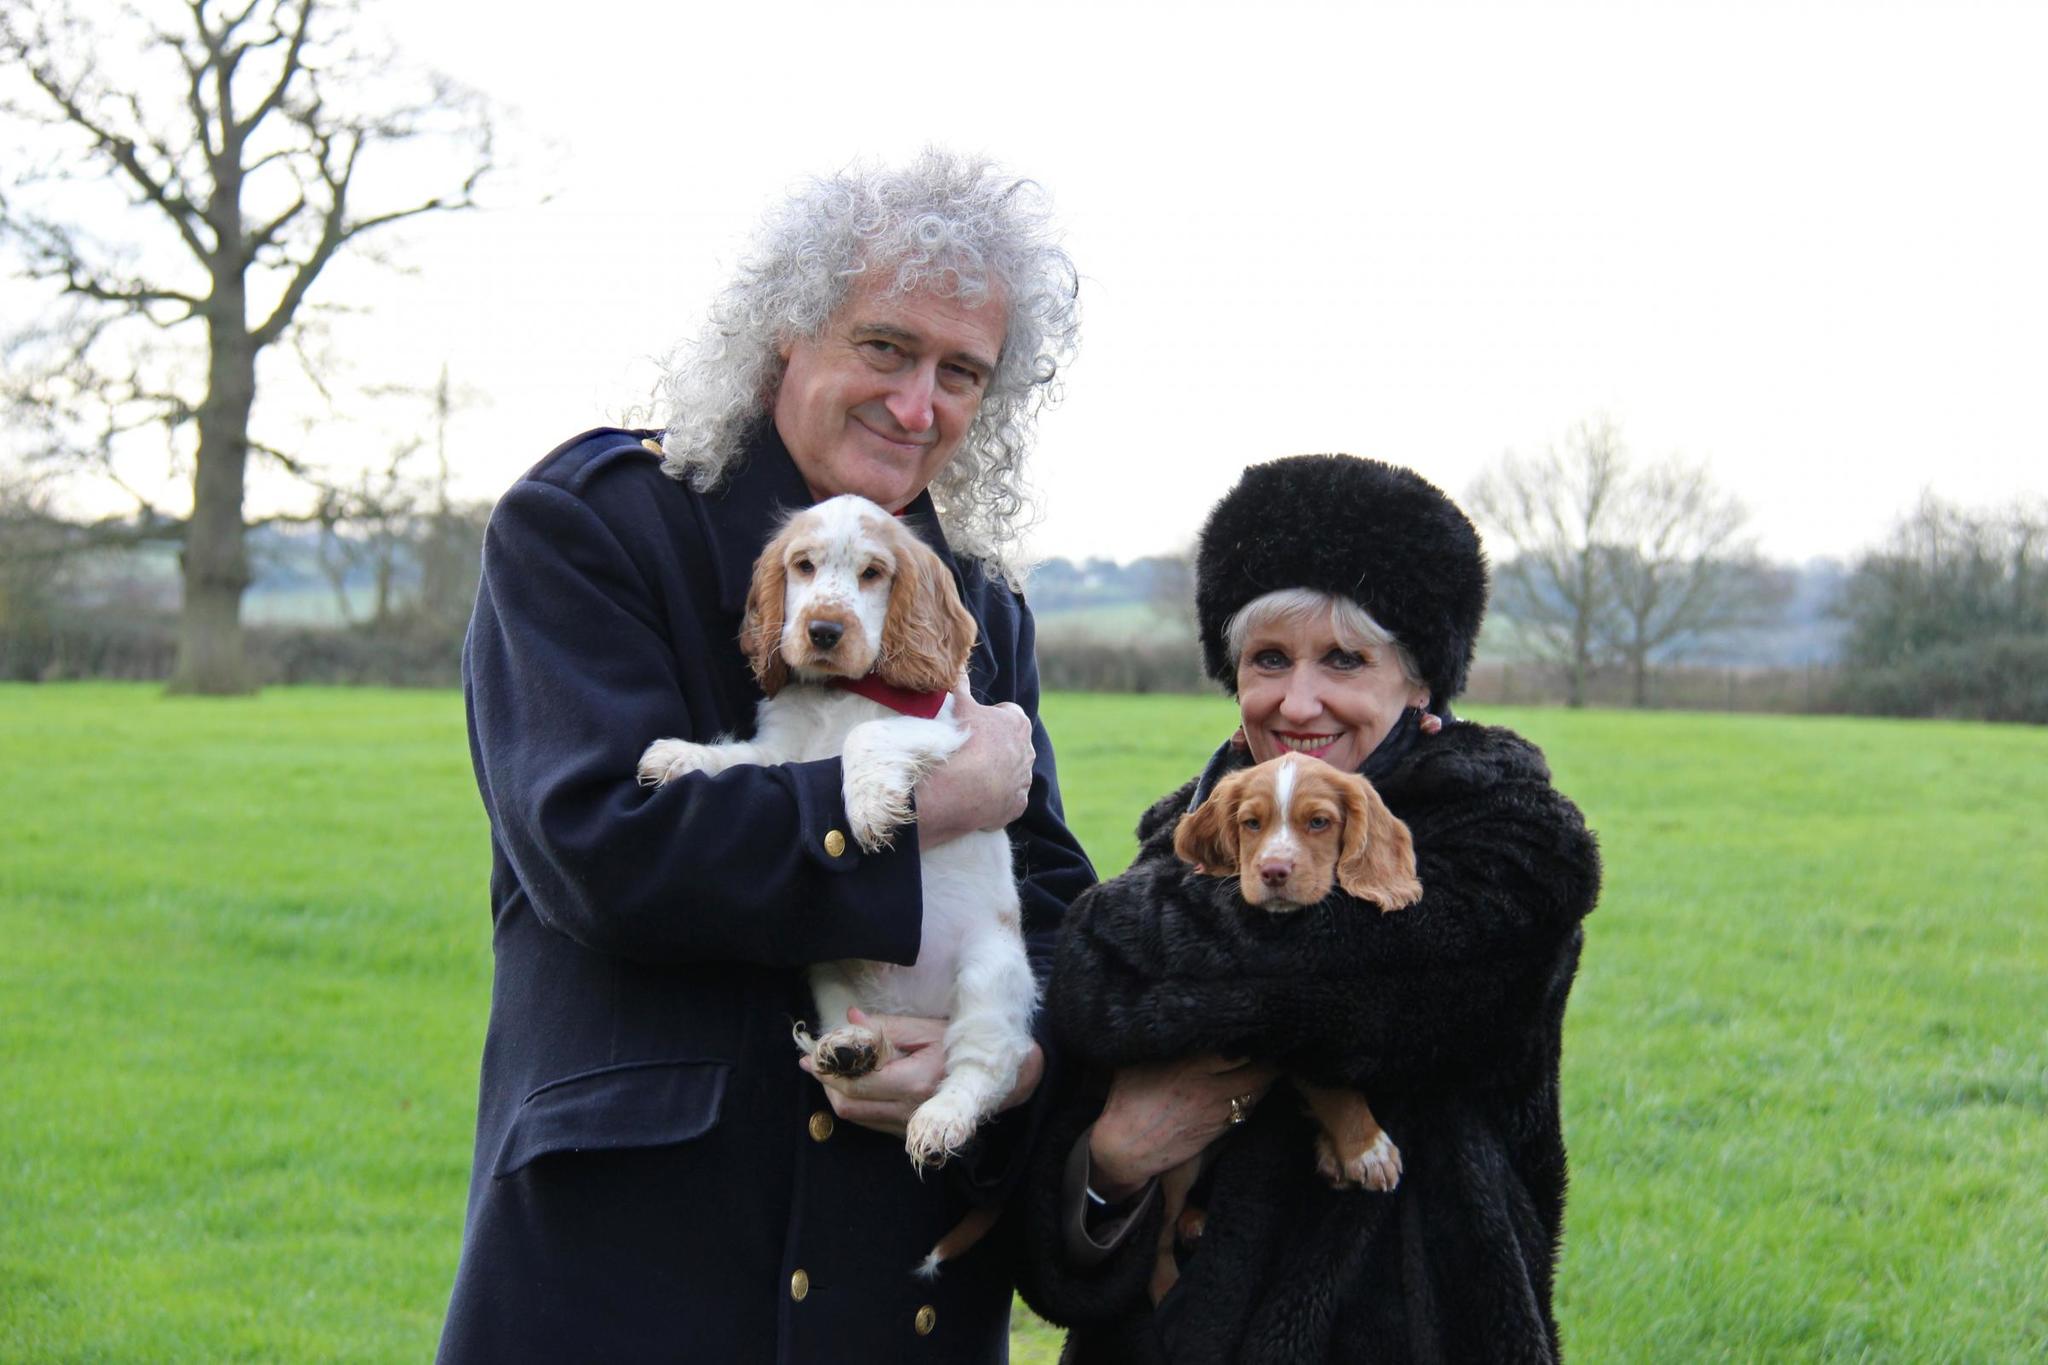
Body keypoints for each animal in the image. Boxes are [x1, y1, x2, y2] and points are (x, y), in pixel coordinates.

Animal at [638, 497, 1040, 1178]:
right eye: (803, 566)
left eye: (873, 573)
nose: (824, 630)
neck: (841, 692)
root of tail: (914, 1013)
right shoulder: (779, 749)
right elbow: (737, 759)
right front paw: (678, 756)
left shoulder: (941, 729)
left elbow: (865, 736)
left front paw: (871, 806)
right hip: (825, 972)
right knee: (864, 1026)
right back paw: (848, 1047)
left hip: (991, 971)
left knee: (986, 1063)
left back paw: (939, 1120)